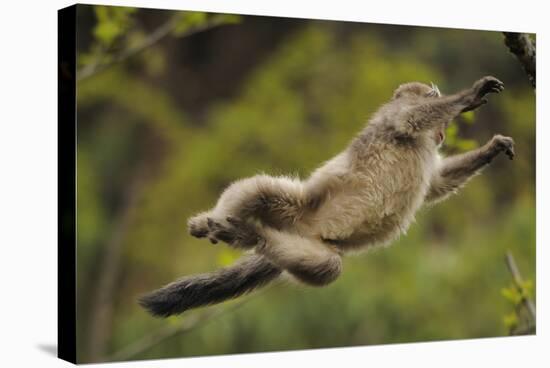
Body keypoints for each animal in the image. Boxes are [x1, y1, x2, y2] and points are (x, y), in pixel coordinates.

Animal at [139, 75, 516, 316]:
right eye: (435, 99)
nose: (442, 134)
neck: (423, 144)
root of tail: (300, 230)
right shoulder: (392, 117)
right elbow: (408, 118)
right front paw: (468, 98)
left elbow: (436, 184)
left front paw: (492, 149)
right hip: (300, 208)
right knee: (260, 191)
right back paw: (214, 223)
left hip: (308, 244)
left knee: (325, 267)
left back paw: (250, 236)